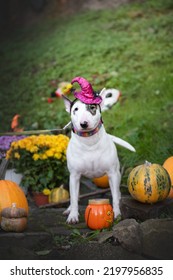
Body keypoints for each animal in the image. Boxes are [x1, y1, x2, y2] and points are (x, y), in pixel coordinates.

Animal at [62, 76, 135, 223]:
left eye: (92, 107)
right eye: (75, 109)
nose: (84, 124)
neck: (89, 142)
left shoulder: (112, 174)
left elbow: (114, 196)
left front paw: (117, 214)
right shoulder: (74, 176)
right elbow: (73, 197)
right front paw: (73, 215)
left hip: (117, 173)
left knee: (117, 192)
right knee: (74, 196)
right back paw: (69, 209)